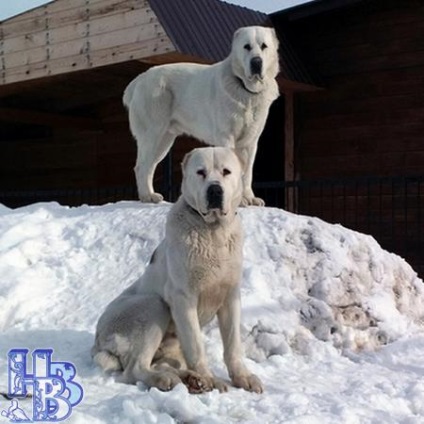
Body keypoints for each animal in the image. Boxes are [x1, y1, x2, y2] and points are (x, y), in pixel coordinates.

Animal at [93, 148, 262, 394]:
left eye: (226, 172)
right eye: (200, 172)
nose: (215, 189)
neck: (213, 232)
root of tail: (97, 342)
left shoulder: (231, 296)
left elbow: (233, 344)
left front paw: (242, 377)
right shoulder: (183, 298)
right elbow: (195, 344)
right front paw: (208, 377)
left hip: (170, 346)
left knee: (163, 363)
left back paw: (190, 379)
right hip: (152, 306)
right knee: (135, 369)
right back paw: (169, 380)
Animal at [124, 25, 280, 207]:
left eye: (264, 46)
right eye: (246, 46)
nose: (256, 62)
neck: (244, 89)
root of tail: (139, 80)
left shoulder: (250, 142)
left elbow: (247, 173)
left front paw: (249, 198)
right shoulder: (225, 137)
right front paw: (237, 200)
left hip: (164, 140)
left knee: (149, 166)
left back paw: (150, 195)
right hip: (153, 133)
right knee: (141, 166)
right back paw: (146, 196)